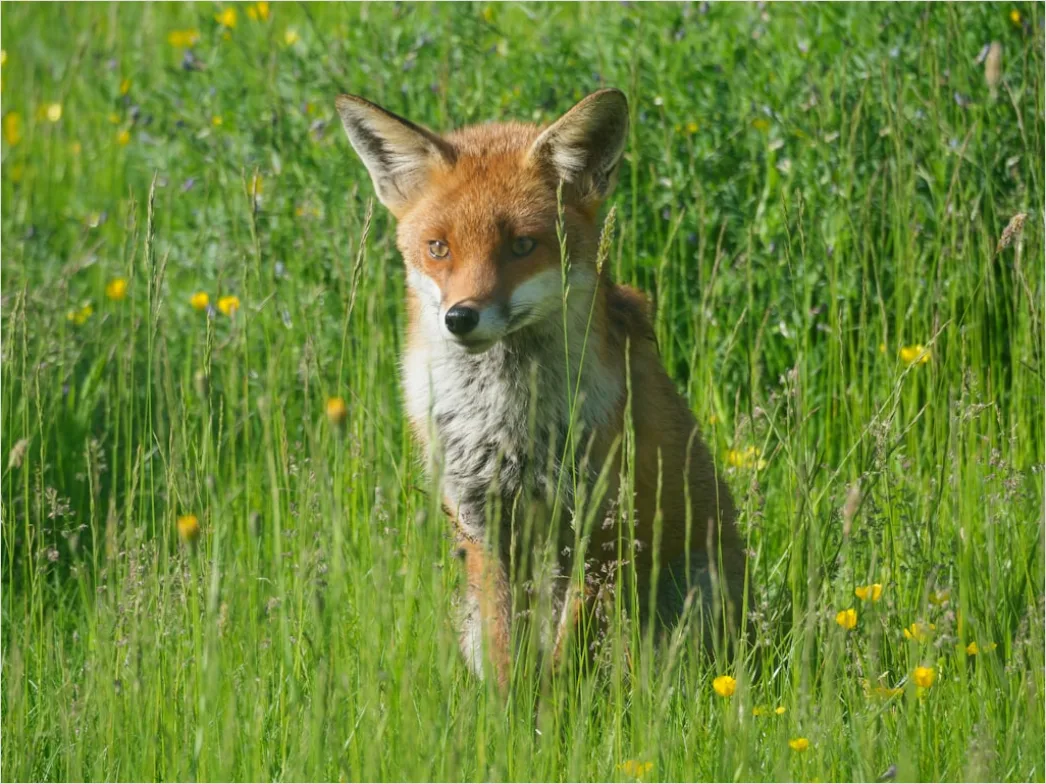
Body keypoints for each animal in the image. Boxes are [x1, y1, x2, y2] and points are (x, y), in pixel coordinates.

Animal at [335, 88, 747, 690]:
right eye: (439, 248)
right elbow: (507, 651)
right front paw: (511, 713)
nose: (460, 318)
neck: (507, 425)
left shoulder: (600, 530)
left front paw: (556, 710)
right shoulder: (482, 528)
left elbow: (567, 657)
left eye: (522, 246)